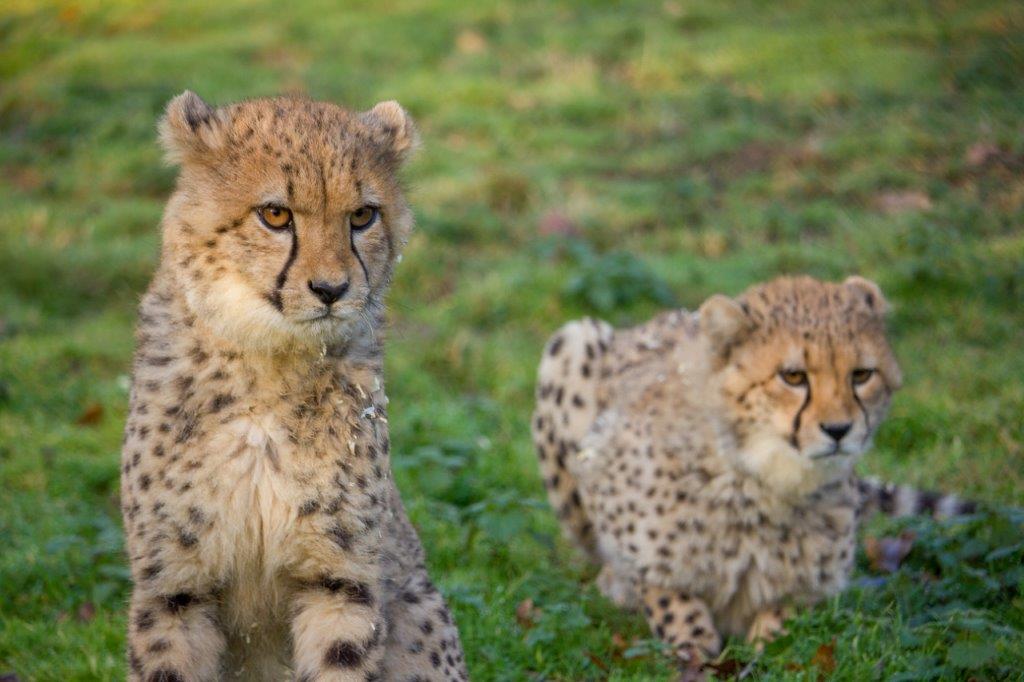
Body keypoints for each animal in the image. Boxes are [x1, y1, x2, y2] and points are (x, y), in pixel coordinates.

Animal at [120, 91, 467, 682]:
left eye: (362, 215)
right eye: (275, 215)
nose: (331, 289)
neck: (268, 368)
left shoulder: (340, 582)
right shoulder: (173, 587)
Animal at [531, 275, 974, 670]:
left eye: (861, 375)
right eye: (793, 376)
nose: (839, 430)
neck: (759, 476)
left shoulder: (815, 578)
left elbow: (786, 619)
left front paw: (768, 644)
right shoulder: (618, 506)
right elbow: (665, 589)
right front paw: (692, 642)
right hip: (571, 342)